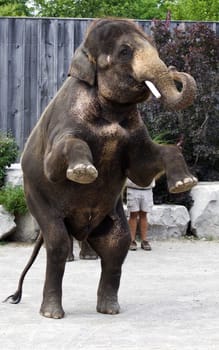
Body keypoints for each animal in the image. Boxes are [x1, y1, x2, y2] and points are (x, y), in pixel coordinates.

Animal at [4, 18, 197, 320]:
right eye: (124, 52)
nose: (176, 70)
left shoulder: (135, 134)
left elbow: (142, 168)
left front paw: (185, 184)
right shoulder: (63, 122)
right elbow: (56, 163)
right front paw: (83, 172)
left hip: (110, 218)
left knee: (117, 245)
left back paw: (109, 309)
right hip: (36, 198)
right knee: (58, 242)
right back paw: (52, 313)